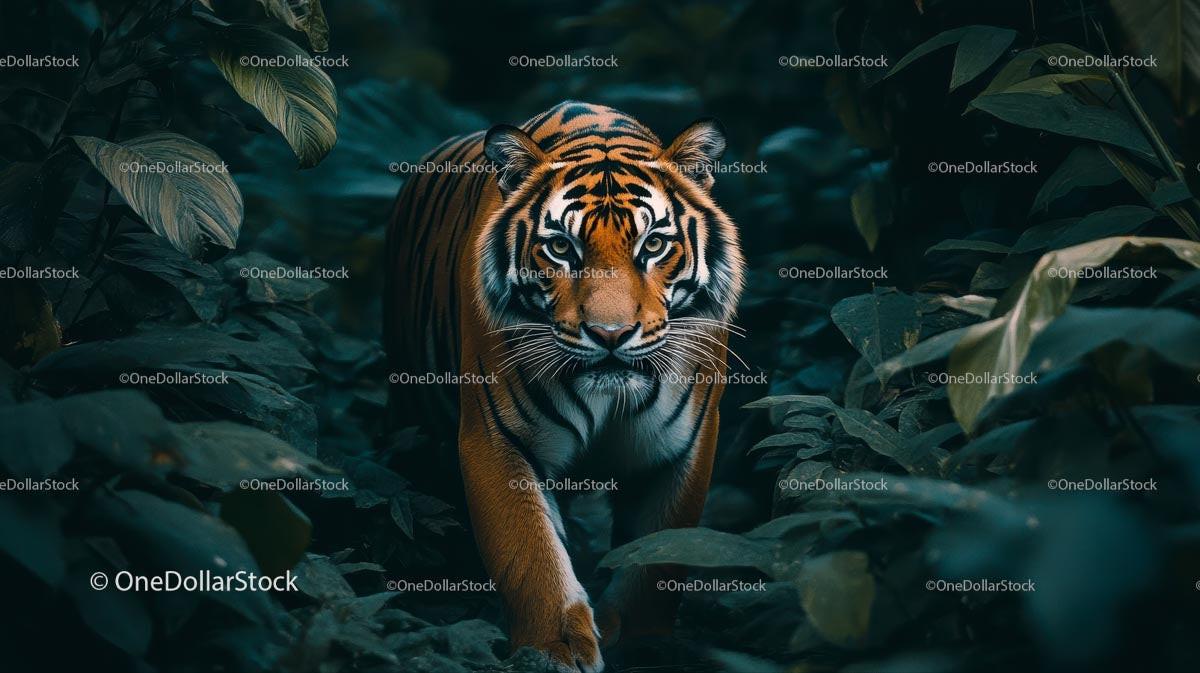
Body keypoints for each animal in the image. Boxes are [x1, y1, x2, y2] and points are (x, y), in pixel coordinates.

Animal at [384, 101, 745, 673]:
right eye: (560, 248)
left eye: (654, 244)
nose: (611, 335)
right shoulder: (496, 438)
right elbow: (528, 549)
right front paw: (554, 649)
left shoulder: (680, 446)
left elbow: (659, 556)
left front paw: (643, 643)